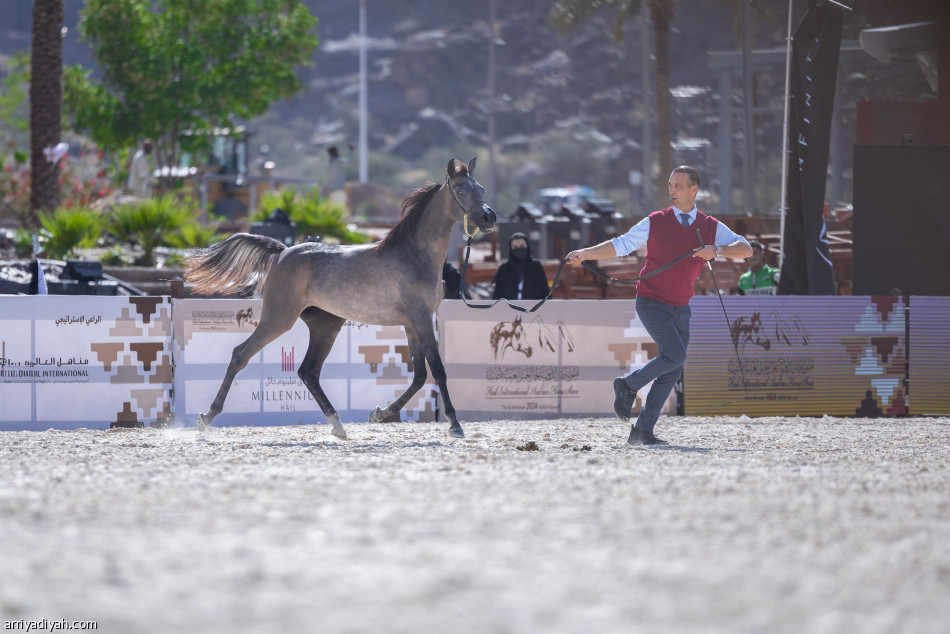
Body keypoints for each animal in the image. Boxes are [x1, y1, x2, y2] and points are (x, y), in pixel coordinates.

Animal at [186, 158, 498, 436]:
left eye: (482, 188)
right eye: (461, 189)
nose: (489, 217)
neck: (414, 255)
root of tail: (282, 252)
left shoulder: (412, 323)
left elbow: (420, 375)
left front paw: (379, 413)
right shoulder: (421, 320)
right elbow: (438, 370)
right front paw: (455, 425)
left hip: (326, 326)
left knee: (308, 371)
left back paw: (337, 424)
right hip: (279, 319)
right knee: (241, 355)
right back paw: (206, 417)